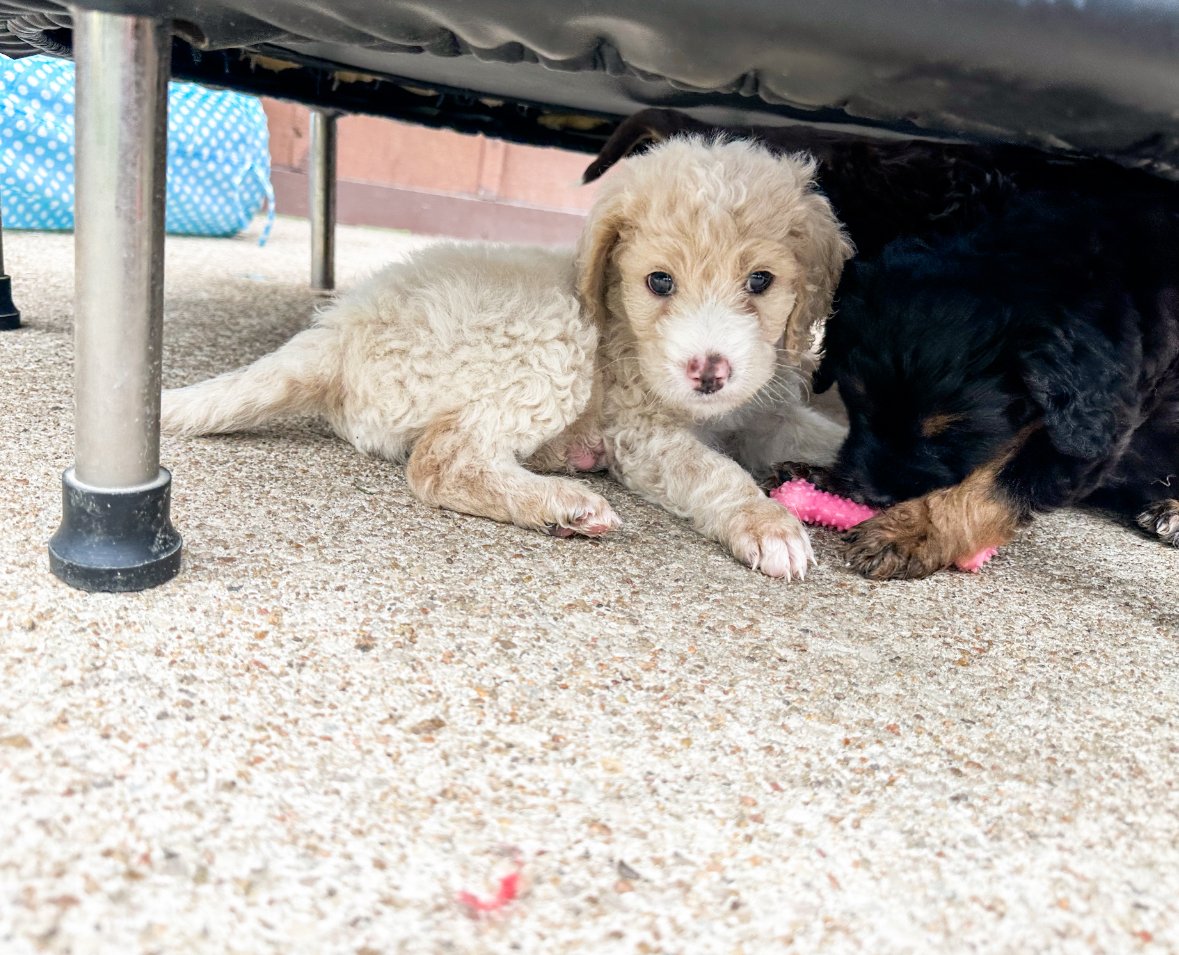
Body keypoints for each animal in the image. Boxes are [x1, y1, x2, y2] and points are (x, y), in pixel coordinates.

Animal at [161, 137, 853, 577]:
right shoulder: (642, 432)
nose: (709, 372)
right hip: (553, 344)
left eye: (760, 281)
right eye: (659, 282)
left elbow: (823, 435)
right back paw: (561, 503)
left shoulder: (766, 412)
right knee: (440, 461)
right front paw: (767, 524)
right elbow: (715, 472)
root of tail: (338, 328)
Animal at [792, 185, 1179, 573]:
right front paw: (823, 478)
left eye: (953, 434)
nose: (871, 495)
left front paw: (909, 531)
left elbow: (993, 485)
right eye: (857, 406)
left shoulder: (1093, 431)